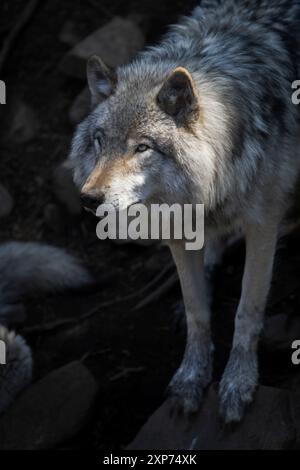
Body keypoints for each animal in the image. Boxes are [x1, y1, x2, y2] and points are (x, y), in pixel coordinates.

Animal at [68, 0, 300, 424]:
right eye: (99, 141)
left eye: (142, 147)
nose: (88, 199)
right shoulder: (177, 230)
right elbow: (197, 311)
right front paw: (192, 378)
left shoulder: (263, 223)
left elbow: (247, 310)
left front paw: (238, 383)